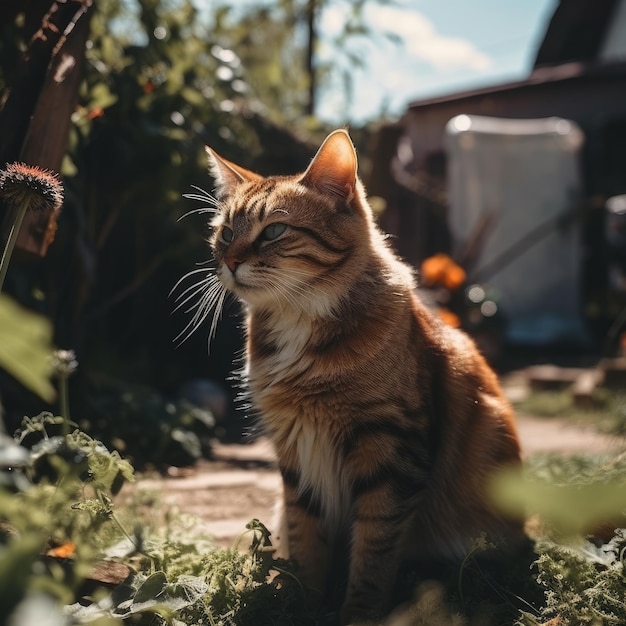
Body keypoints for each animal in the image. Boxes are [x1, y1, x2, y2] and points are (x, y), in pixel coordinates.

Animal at [195, 129, 520, 620]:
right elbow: (306, 538)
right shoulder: (296, 452)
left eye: (274, 231)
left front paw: (357, 613)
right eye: (226, 233)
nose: (229, 261)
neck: (299, 320)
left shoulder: (391, 450)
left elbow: (374, 548)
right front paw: (300, 604)